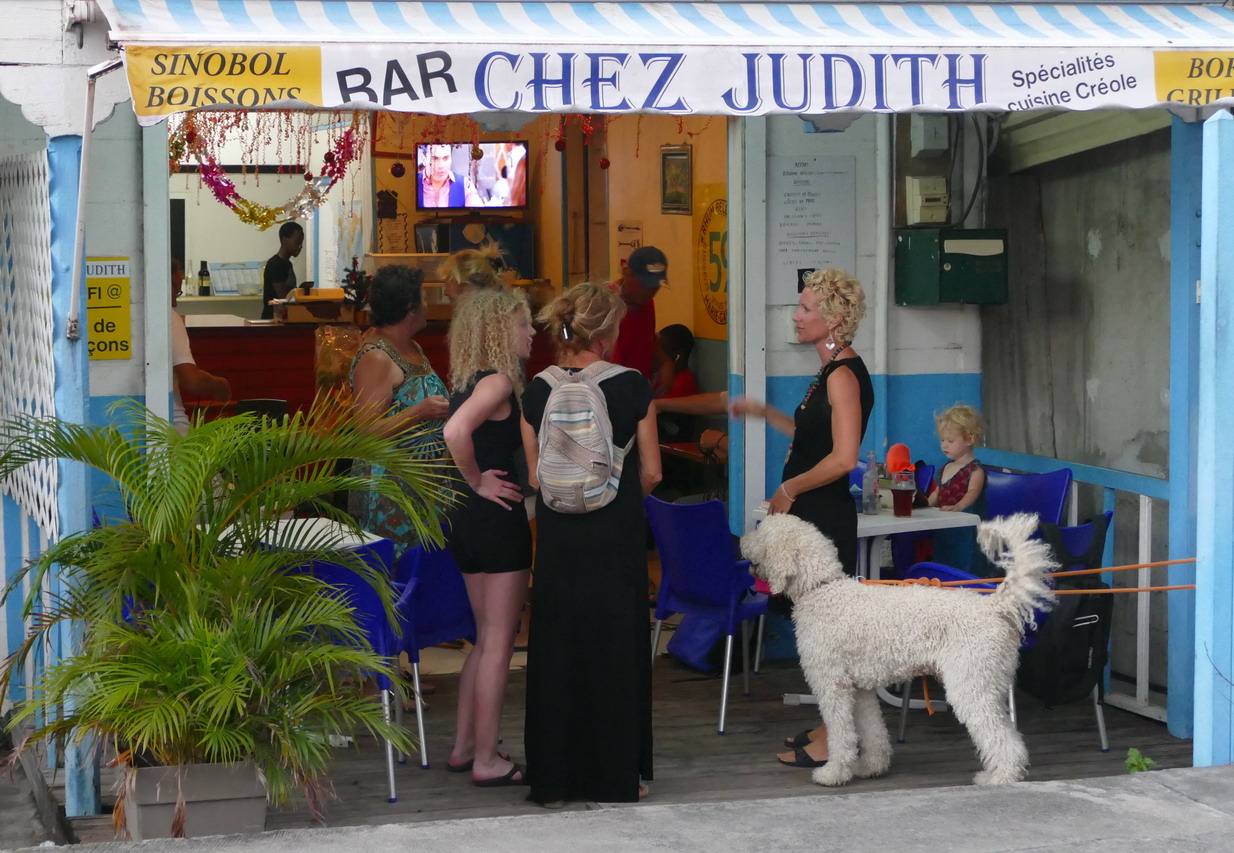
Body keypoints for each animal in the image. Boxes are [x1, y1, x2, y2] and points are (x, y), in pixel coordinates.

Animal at [735, 513, 1056, 785]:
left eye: (761, 533)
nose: (740, 542)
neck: (822, 589)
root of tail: (994, 606)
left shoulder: (832, 686)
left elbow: (841, 735)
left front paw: (833, 773)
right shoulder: (860, 688)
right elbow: (871, 731)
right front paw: (870, 767)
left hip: (970, 685)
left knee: (1000, 737)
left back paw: (1000, 777)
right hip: (990, 684)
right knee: (1009, 732)